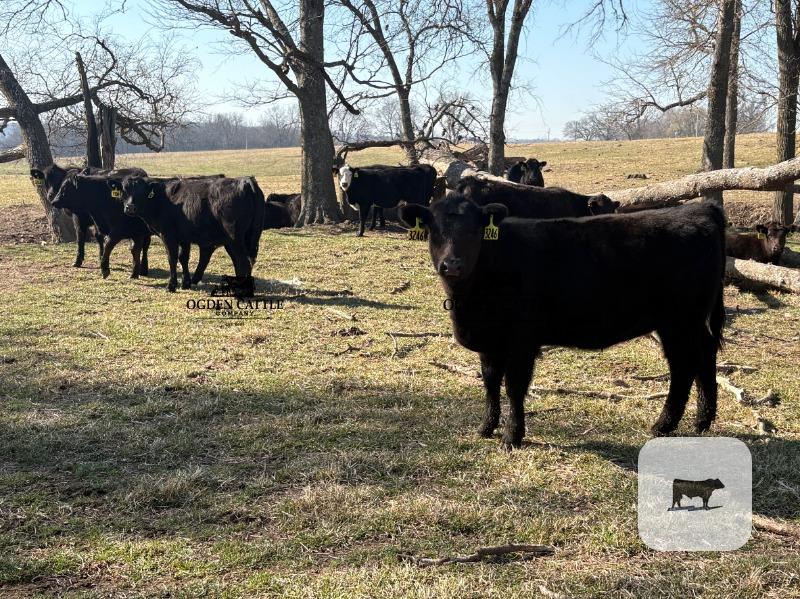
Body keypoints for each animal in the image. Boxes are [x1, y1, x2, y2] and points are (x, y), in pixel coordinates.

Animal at [118, 176, 265, 293]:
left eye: (142, 192)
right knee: (242, 262)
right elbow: (183, 258)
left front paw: (171, 286)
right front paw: (186, 283)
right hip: (243, 239)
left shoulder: (168, 236)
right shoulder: (184, 238)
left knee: (243, 262)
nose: (130, 207)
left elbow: (172, 258)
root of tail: (245, 180)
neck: (162, 200)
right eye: (124, 191)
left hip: (235, 238)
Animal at [398, 194, 726, 449]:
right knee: (705, 358)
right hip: (691, 322)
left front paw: (512, 437)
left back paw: (663, 425)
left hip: (679, 321)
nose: (452, 264)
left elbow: (514, 387)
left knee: (684, 368)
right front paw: (486, 427)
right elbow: (490, 382)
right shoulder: (490, 340)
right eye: (434, 228)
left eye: (474, 230)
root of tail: (700, 208)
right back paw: (702, 421)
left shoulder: (522, 340)